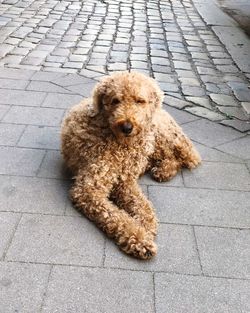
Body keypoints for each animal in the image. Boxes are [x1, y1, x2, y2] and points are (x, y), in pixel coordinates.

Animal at [60, 70, 201, 258]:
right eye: (115, 100)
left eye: (140, 101)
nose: (127, 127)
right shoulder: (90, 189)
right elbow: (116, 216)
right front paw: (139, 238)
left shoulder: (125, 182)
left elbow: (143, 206)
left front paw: (146, 226)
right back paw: (162, 169)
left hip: (157, 134)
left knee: (182, 157)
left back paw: (164, 169)